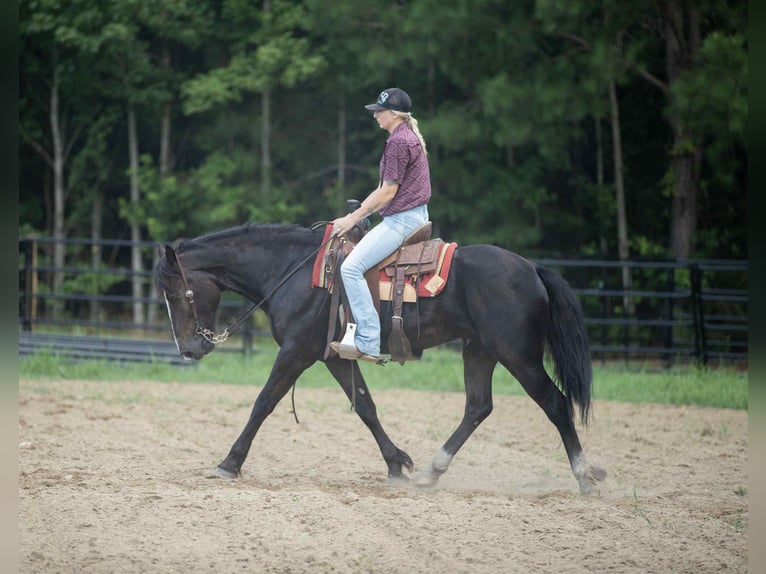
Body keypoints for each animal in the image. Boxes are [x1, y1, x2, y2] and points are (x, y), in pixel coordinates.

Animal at [154, 222, 606, 494]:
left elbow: (264, 402)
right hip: (479, 350)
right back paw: (431, 471)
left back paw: (585, 476)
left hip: (519, 355)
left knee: (555, 403)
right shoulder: (335, 357)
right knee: (478, 407)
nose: (189, 349)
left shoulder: (297, 351)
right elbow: (366, 406)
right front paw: (396, 464)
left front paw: (229, 462)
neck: (291, 272)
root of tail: (532, 268)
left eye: (177, 293)